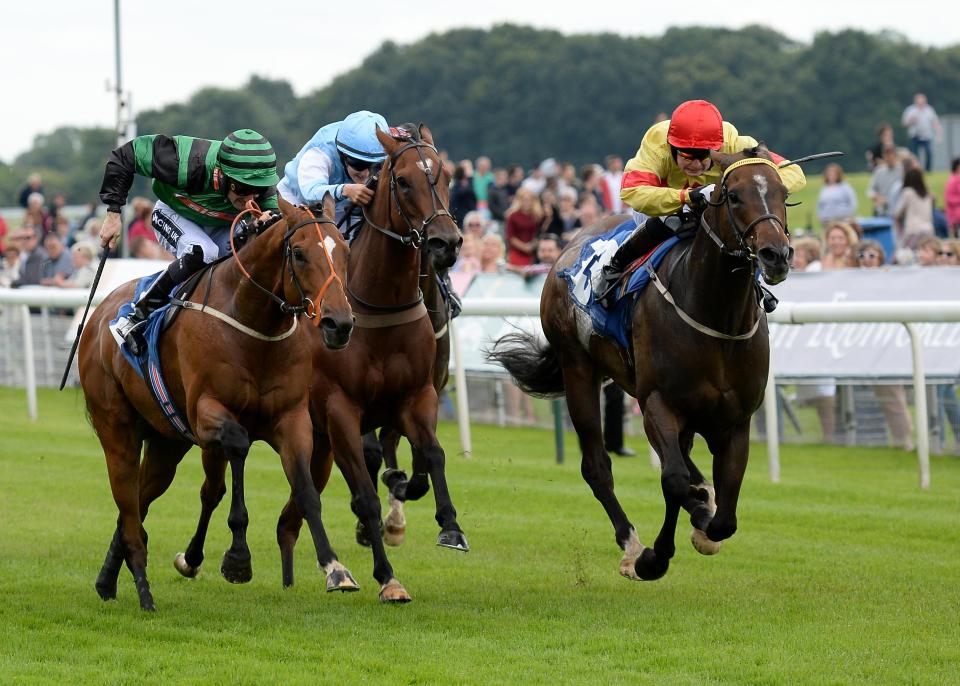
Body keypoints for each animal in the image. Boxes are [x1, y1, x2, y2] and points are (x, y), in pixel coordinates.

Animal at [79, 199, 354, 612]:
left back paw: (107, 579)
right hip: (117, 429)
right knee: (128, 499)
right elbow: (237, 448)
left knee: (137, 503)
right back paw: (140, 587)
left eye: (346, 253)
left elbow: (306, 490)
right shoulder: (208, 412)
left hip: (166, 444)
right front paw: (237, 558)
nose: (340, 323)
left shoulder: (292, 419)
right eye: (300, 253)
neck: (254, 323)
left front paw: (335, 568)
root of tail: (99, 313)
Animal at [274, 123, 464, 600]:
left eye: (447, 176)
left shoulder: (418, 395)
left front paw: (450, 526)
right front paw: (387, 576)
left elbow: (432, 455)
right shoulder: (341, 410)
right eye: (403, 182)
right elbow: (365, 492)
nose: (446, 243)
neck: (379, 306)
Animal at [492, 148, 792, 584]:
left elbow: (724, 514)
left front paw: (705, 520)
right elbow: (674, 482)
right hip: (578, 369)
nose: (776, 255)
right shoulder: (659, 404)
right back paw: (632, 544)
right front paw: (655, 555)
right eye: (733, 196)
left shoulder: (735, 420)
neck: (717, 316)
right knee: (598, 466)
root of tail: (568, 246)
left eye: (784, 193)